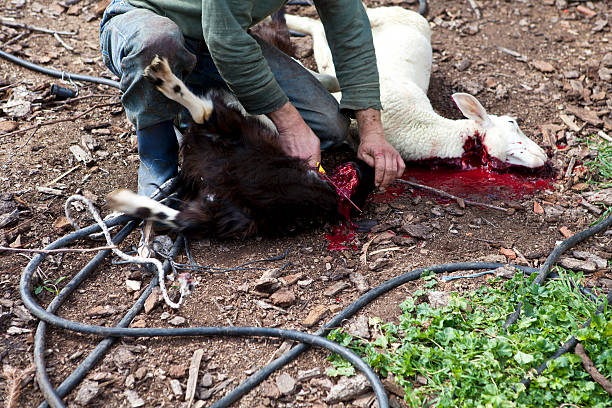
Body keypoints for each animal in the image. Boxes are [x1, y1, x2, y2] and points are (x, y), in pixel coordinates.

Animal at [284, 6, 548, 169]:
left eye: (508, 160)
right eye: (512, 122)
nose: (544, 156)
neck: (416, 124)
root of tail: (405, 10)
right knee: (316, 25)